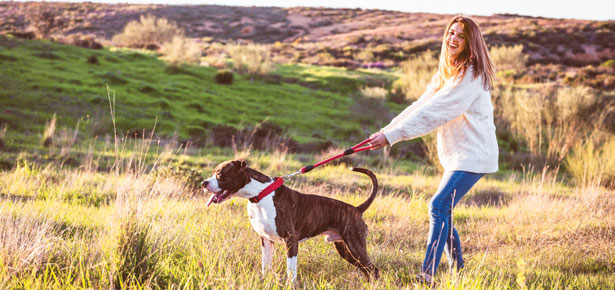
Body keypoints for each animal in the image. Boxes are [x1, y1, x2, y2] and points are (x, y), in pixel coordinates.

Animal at [202, 160, 380, 282]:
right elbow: (265, 266)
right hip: (345, 249)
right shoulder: (266, 241)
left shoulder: (291, 241)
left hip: (355, 245)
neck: (260, 195)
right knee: (367, 270)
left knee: (374, 270)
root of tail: (356, 209)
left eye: (220, 174)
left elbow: (291, 271)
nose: (203, 183)